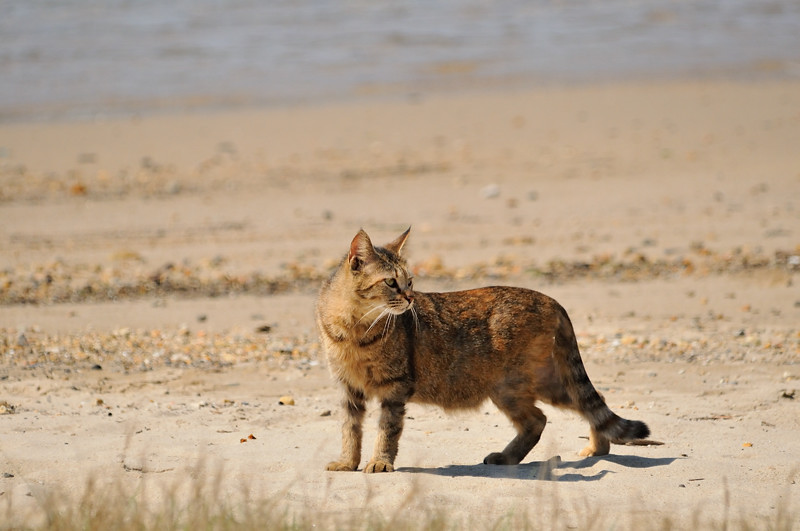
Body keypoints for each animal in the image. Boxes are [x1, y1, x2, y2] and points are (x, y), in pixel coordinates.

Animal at [314, 229, 648, 474]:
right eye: (391, 283)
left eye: (410, 281)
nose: (410, 299)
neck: (353, 329)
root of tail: (551, 299)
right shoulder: (349, 389)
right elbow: (350, 429)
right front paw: (347, 462)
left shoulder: (395, 388)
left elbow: (387, 429)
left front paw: (380, 462)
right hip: (535, 383)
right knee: (575, 406)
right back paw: (587, 449)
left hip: (514, 384)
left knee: (552, 414)